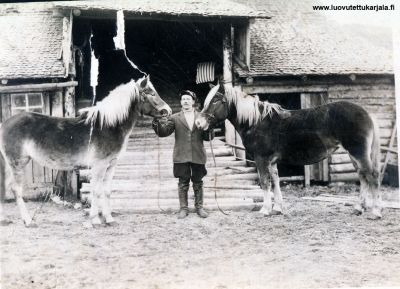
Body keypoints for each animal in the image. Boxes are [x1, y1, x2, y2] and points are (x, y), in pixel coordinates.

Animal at [0, 75, 172, 227]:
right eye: (151, 93)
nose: (167, 111)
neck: (107, 126)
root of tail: (5, 124)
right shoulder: (99, 166)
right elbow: (96, 191)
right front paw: (95, 220)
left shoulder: (111, 165)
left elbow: (106, 191)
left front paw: (109, 219)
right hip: (17, 164)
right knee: (16, 190)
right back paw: (28, 221)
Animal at [195, 83, 382, 218]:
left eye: (216, 100)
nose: (198, 123)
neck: (257, 121)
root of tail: (366, 113)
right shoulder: (271, 161)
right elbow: (276, 181)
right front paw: (277, 209)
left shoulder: (261, 159)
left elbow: (265, 182)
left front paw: (265, 210)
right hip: (353, 155)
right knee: (363, 177)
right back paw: (358, 208)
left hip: (358, 152)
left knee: (372, 176)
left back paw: (375, 212)